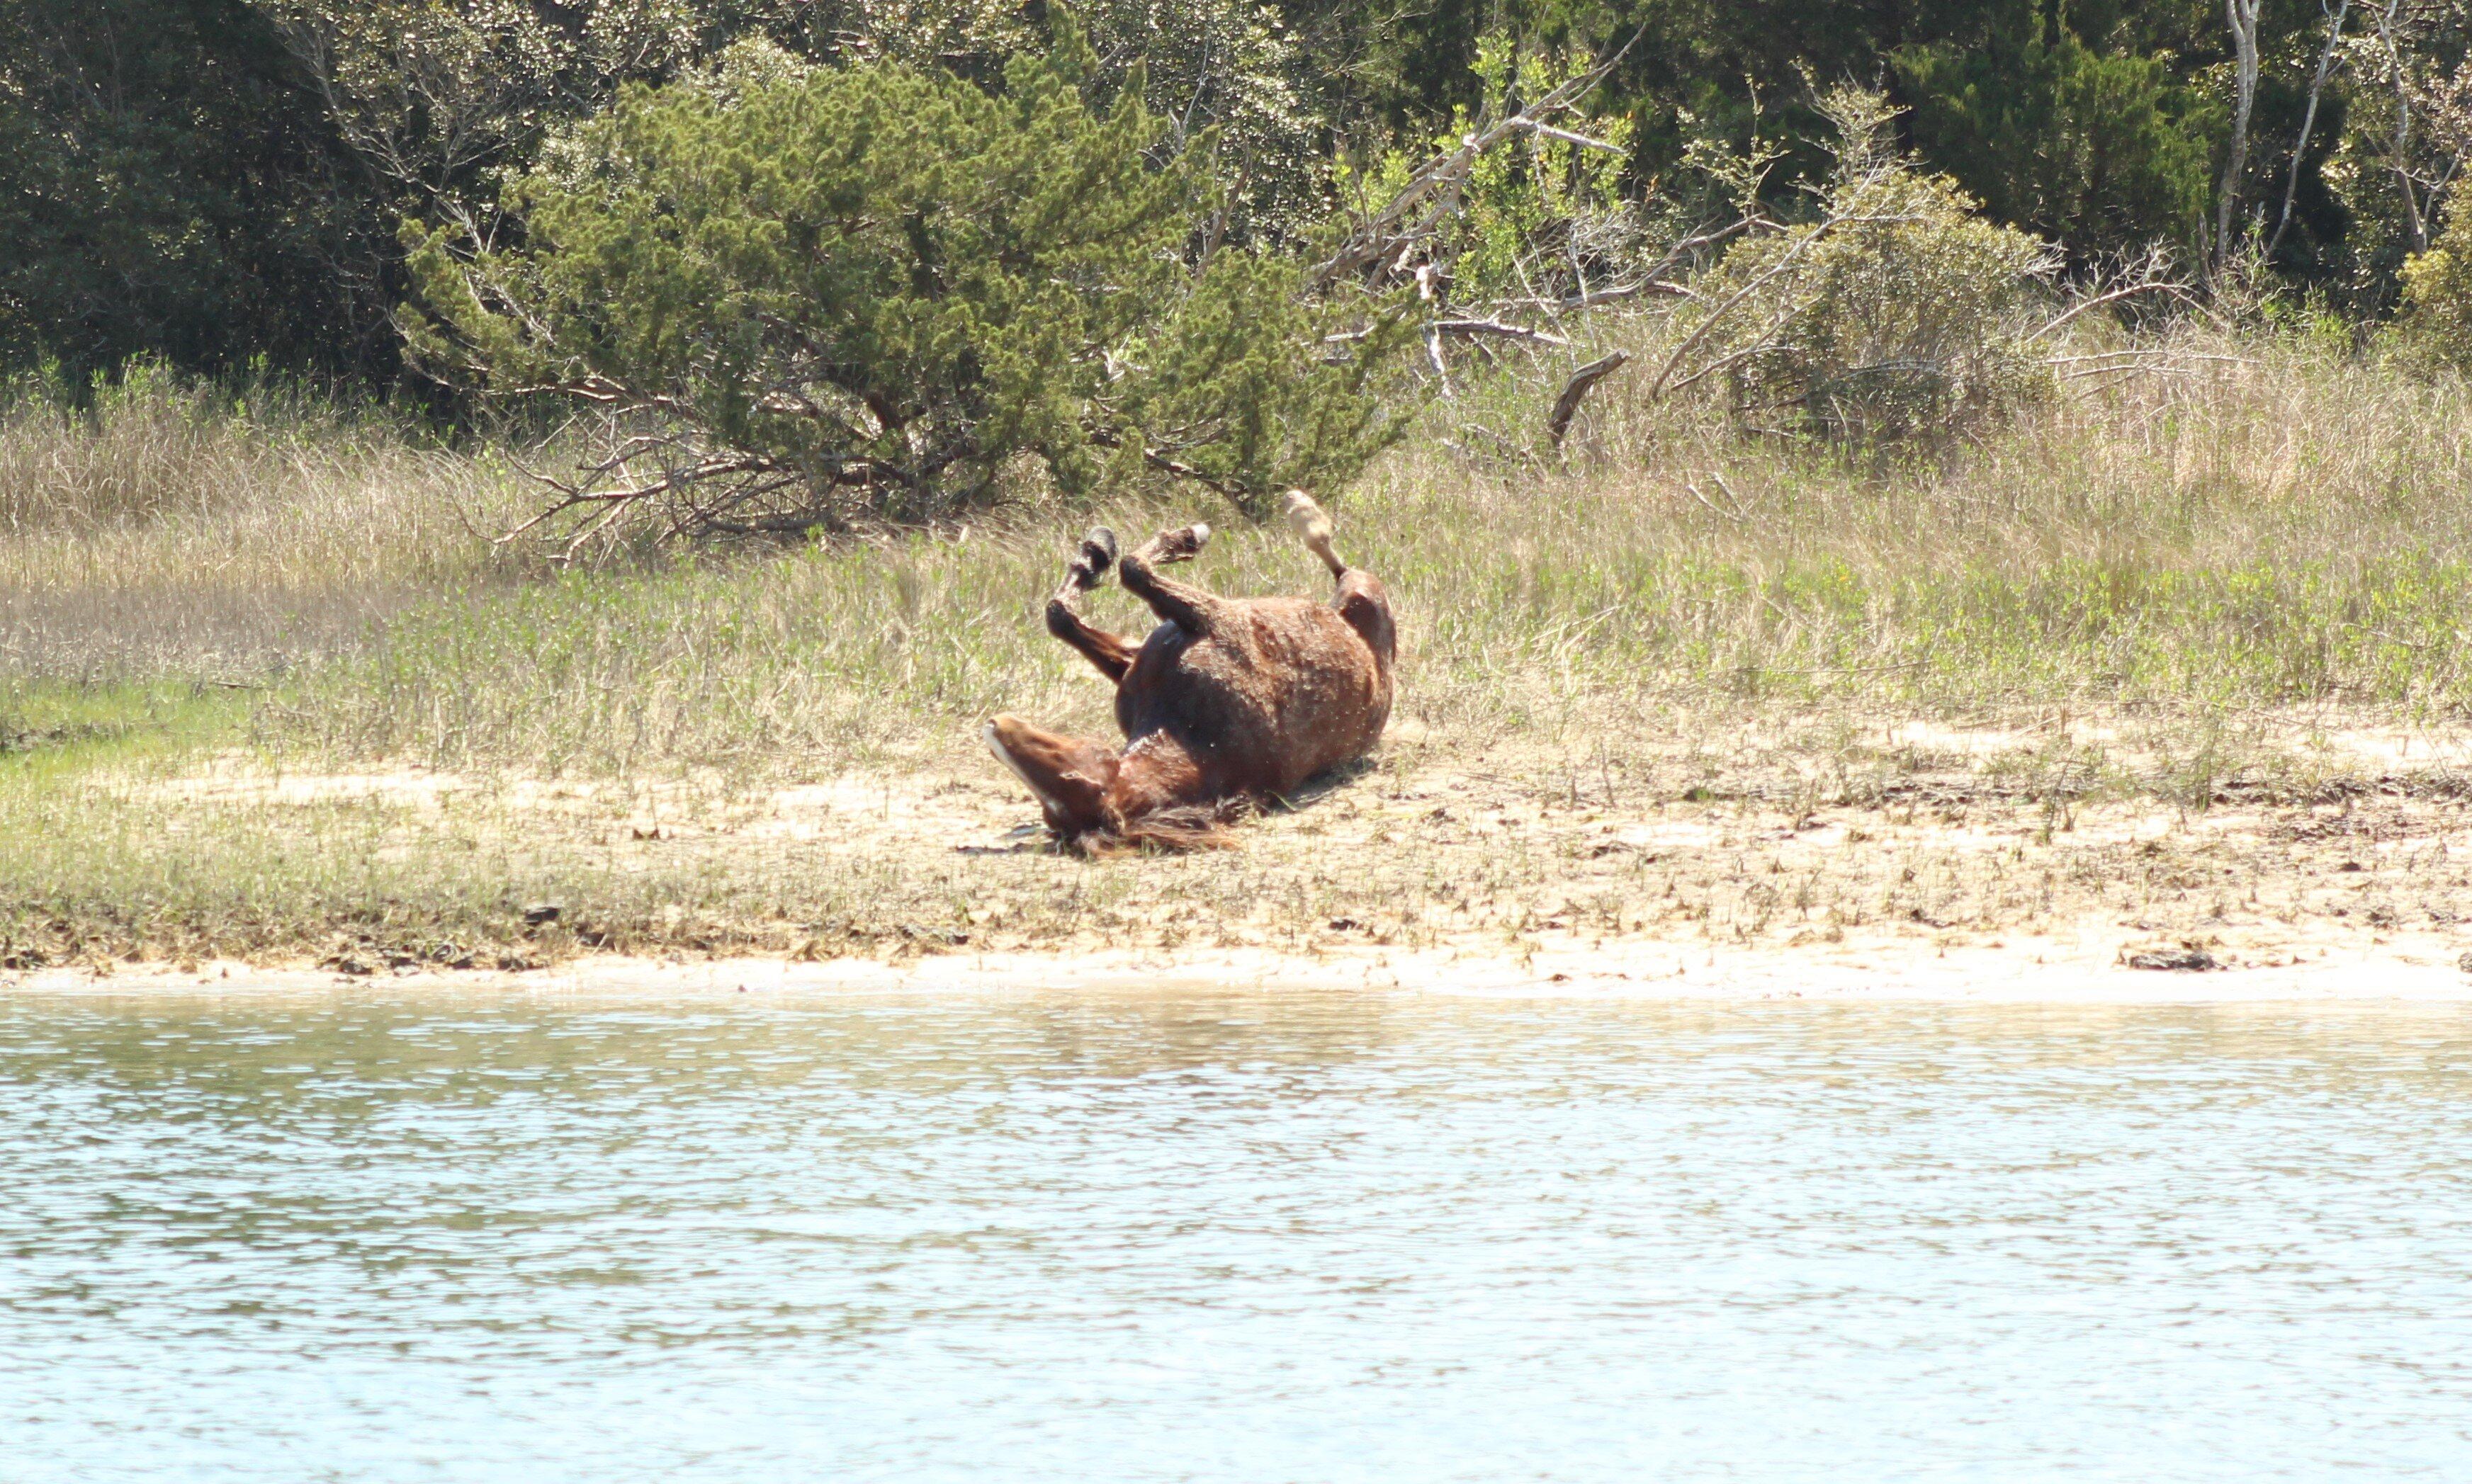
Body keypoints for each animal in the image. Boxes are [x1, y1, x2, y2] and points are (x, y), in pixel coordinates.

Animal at [988, 492, 1413, 851]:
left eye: (1071, 779)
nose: (995, 726)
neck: (1189, 732)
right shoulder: (1201, 624)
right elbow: (1114, 582)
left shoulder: (1207, 620)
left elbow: (1114, 581)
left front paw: (1106, 549)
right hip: (1365, 595)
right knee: (1340, 565)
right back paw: (1302, 512)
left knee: (1337, 563)